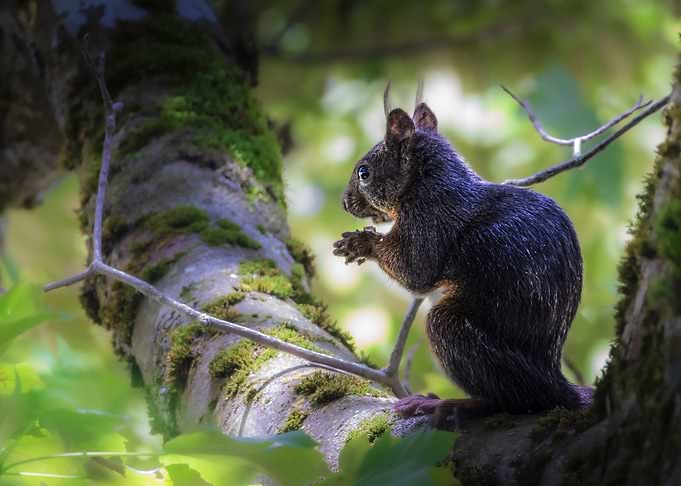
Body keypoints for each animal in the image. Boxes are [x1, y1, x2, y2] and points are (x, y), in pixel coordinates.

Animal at [333, 89, 594, 429]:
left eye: (364, 172)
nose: (344, 203)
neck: (427, 181)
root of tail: (558, 383)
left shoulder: (431, 219)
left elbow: (416, 270)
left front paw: (361, 244)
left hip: (451, 328)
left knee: (519, 399)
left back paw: (451, 405)